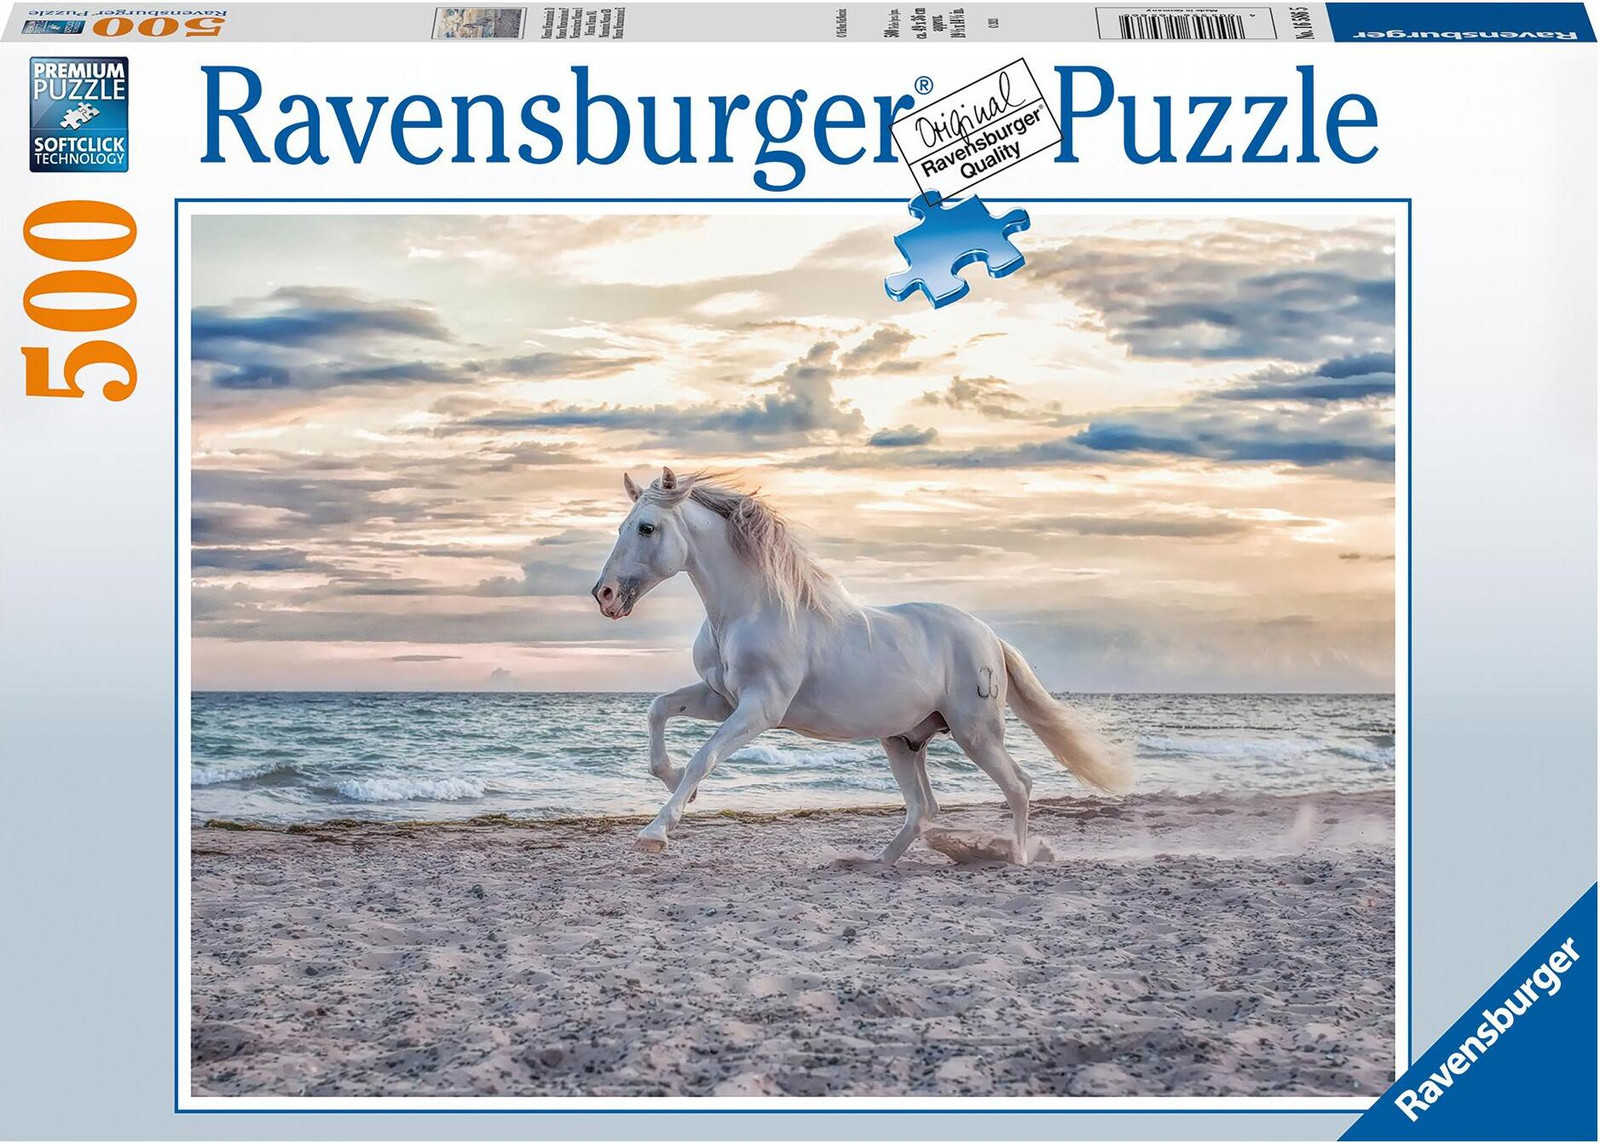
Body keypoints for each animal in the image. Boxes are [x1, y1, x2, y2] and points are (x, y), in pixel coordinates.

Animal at [590, 467, 1134, 863]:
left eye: (647, 528)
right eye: (620, 527)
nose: (605, 595)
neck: (750, 610)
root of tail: (989, 637)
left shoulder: (760, 709)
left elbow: (704, 756)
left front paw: (656, 832)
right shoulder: (721, 699)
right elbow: (659, 711)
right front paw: (674, 785)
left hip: (976, 733)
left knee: (1018, 786)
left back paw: (1016, 859)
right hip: (904, 740)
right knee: (924, 808)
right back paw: (876, 862)